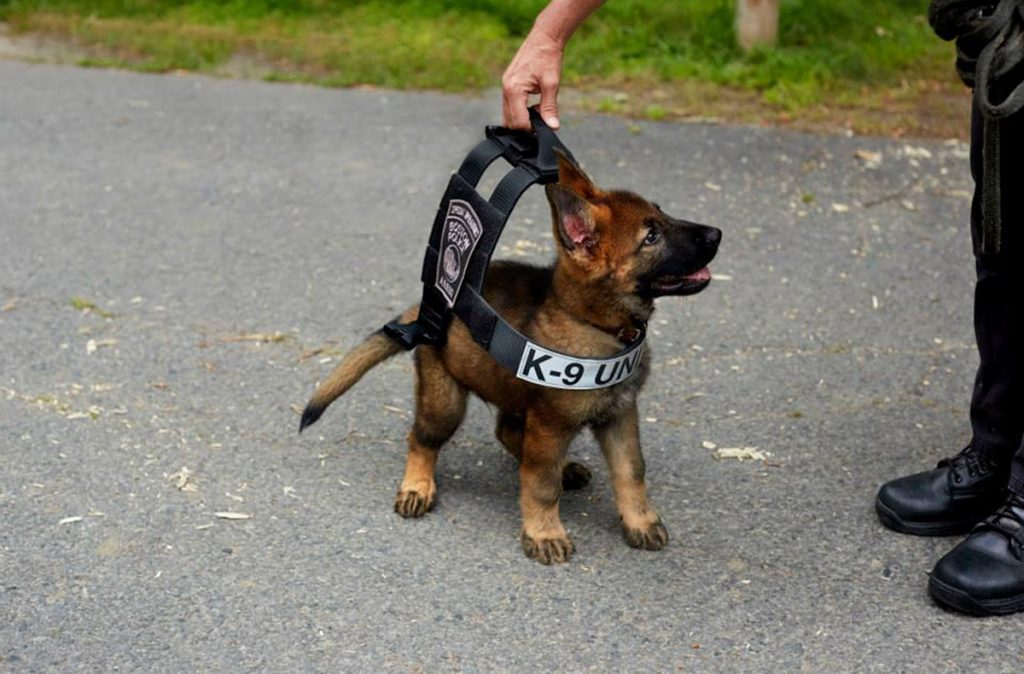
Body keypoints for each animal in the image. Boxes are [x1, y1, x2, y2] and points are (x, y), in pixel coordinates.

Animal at [301, 152, 720, 561]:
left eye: (662, 214)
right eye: (651, 237)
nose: (717, 234)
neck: (595, 324)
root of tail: (425, 308)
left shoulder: (620, 415)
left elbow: (631, 471)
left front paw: (640, 521)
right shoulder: (551, 425)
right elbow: (540, 483)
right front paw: (545, 532)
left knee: (508, 432)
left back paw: (564, 468)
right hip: (445, 401)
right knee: (422, 437)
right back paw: (417, 485)